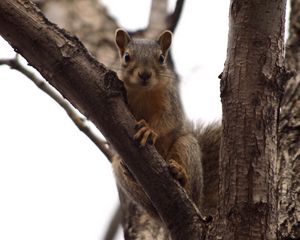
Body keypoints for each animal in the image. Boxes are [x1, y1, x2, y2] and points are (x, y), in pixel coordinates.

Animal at [112, 28, 220, 219]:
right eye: (126, 57)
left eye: (161, 58)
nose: (145, 75)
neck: (143, 92)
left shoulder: (170, 99)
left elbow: (168, 120)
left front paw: (148, 130)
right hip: (118, 167)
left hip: (186, 145)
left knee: (189, 191)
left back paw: (180, 176)